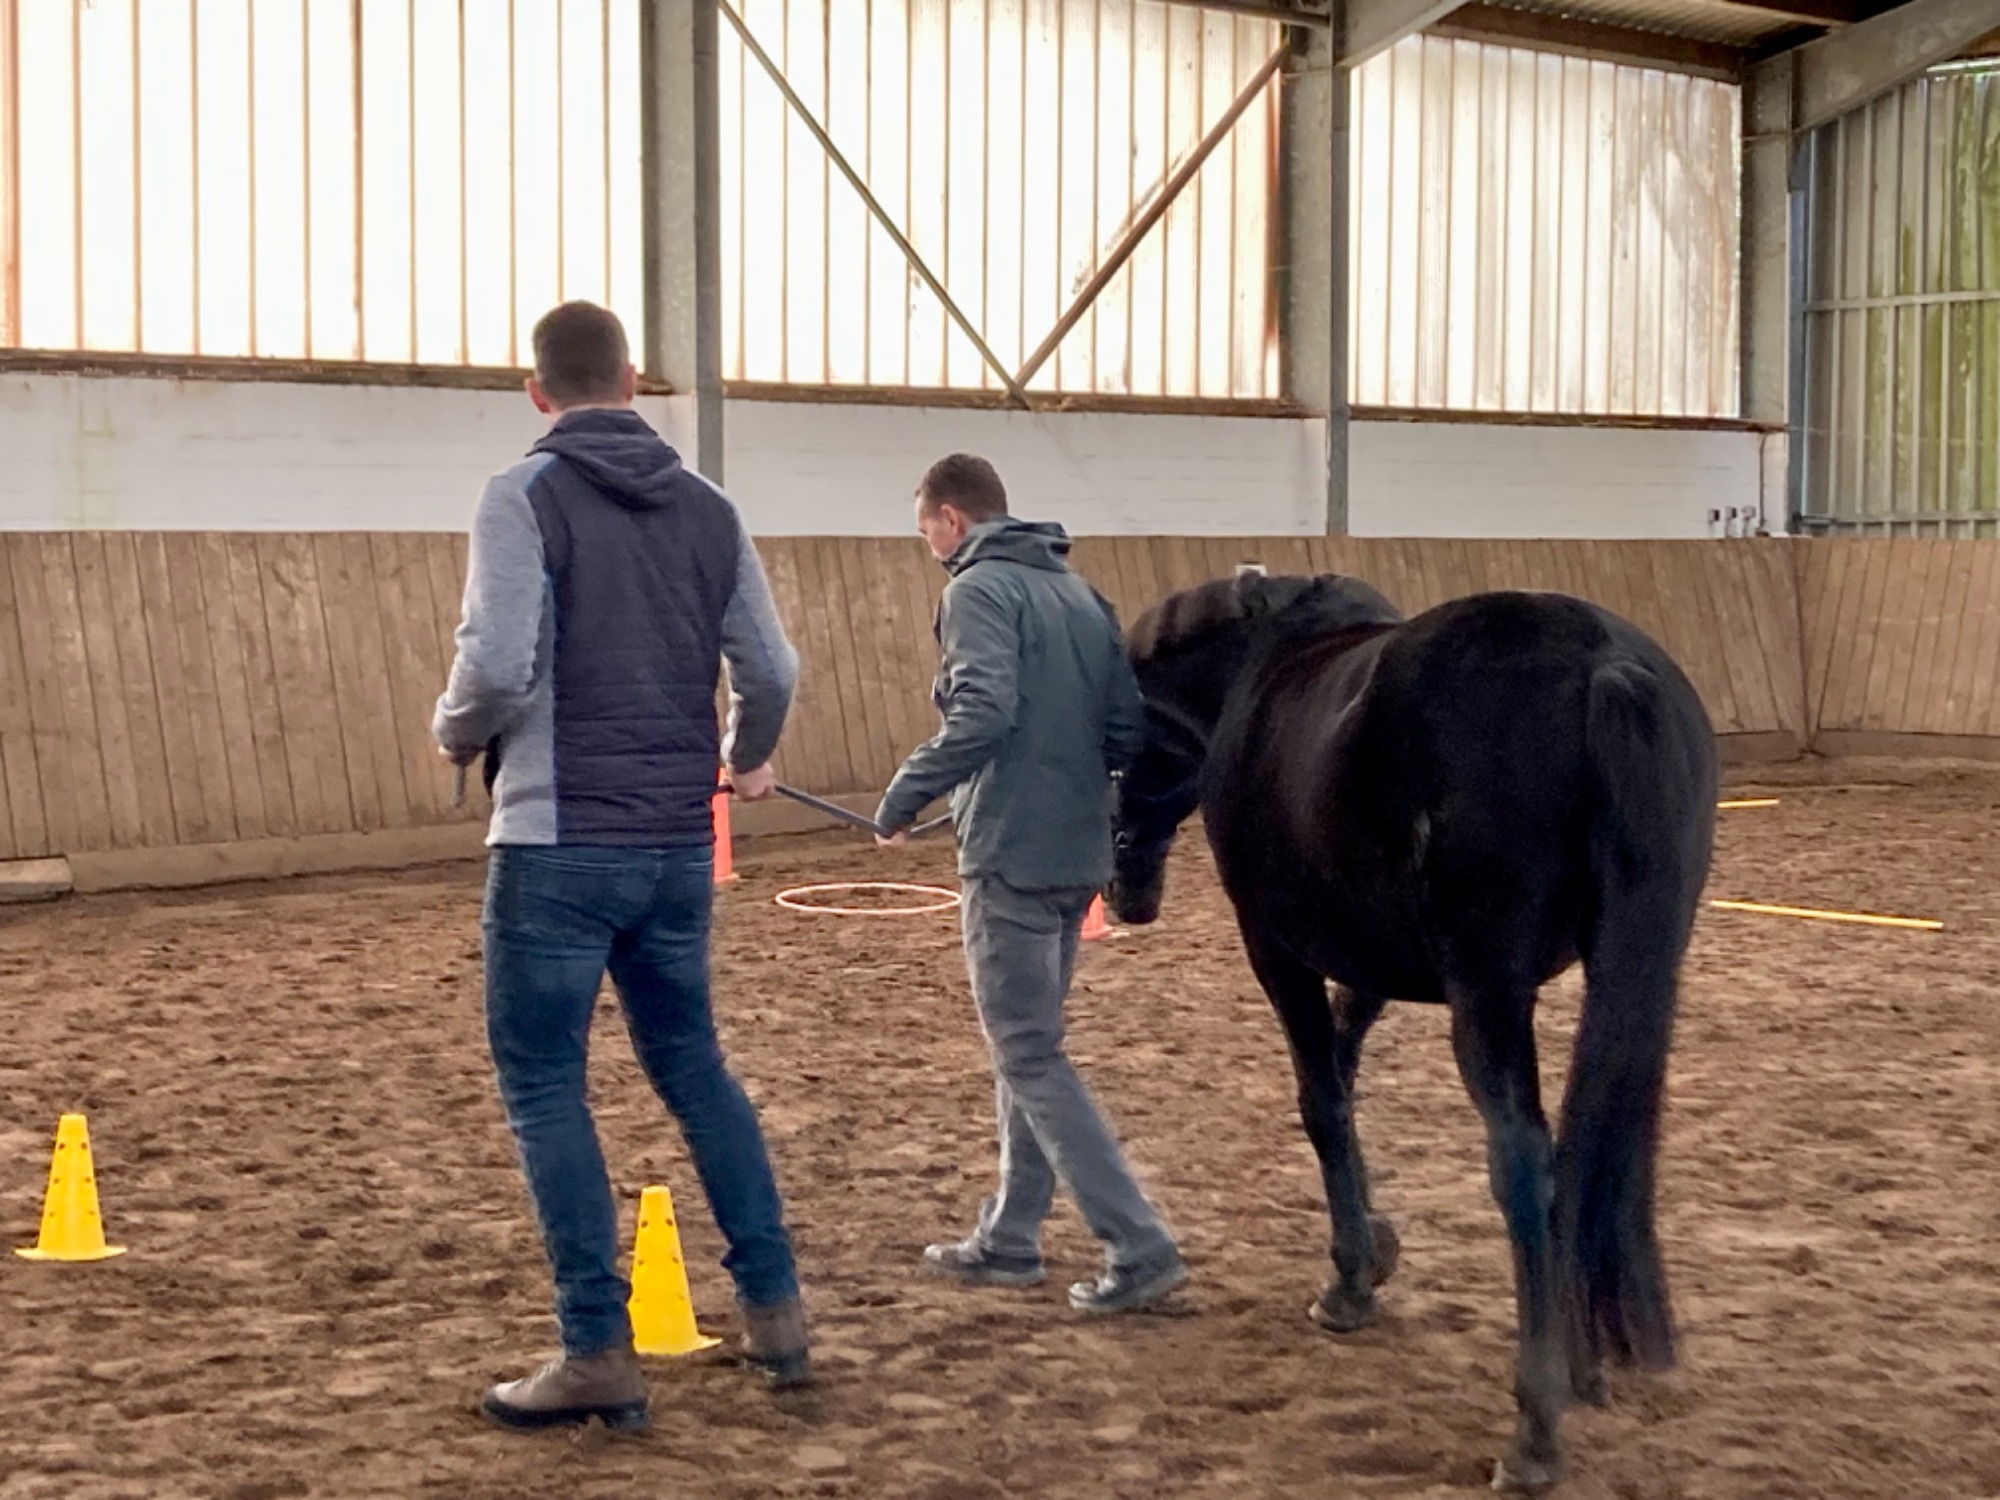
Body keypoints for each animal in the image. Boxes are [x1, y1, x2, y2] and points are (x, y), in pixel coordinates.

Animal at [1107, 572, 1716, 1492]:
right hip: (1639, 970)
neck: (1255, 671)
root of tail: (1603, 661)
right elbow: (1345, 1070)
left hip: (1488, 993)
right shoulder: (1374, 963)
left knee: (1525, 1163)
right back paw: (1586, 1362)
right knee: (1602, 1152)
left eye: (1115, 754)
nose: (1123, 890)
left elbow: (1321, 1099)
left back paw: (1535, 1428)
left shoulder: (1277, 947)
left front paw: (1351, 1282)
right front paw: (1377, 1245)